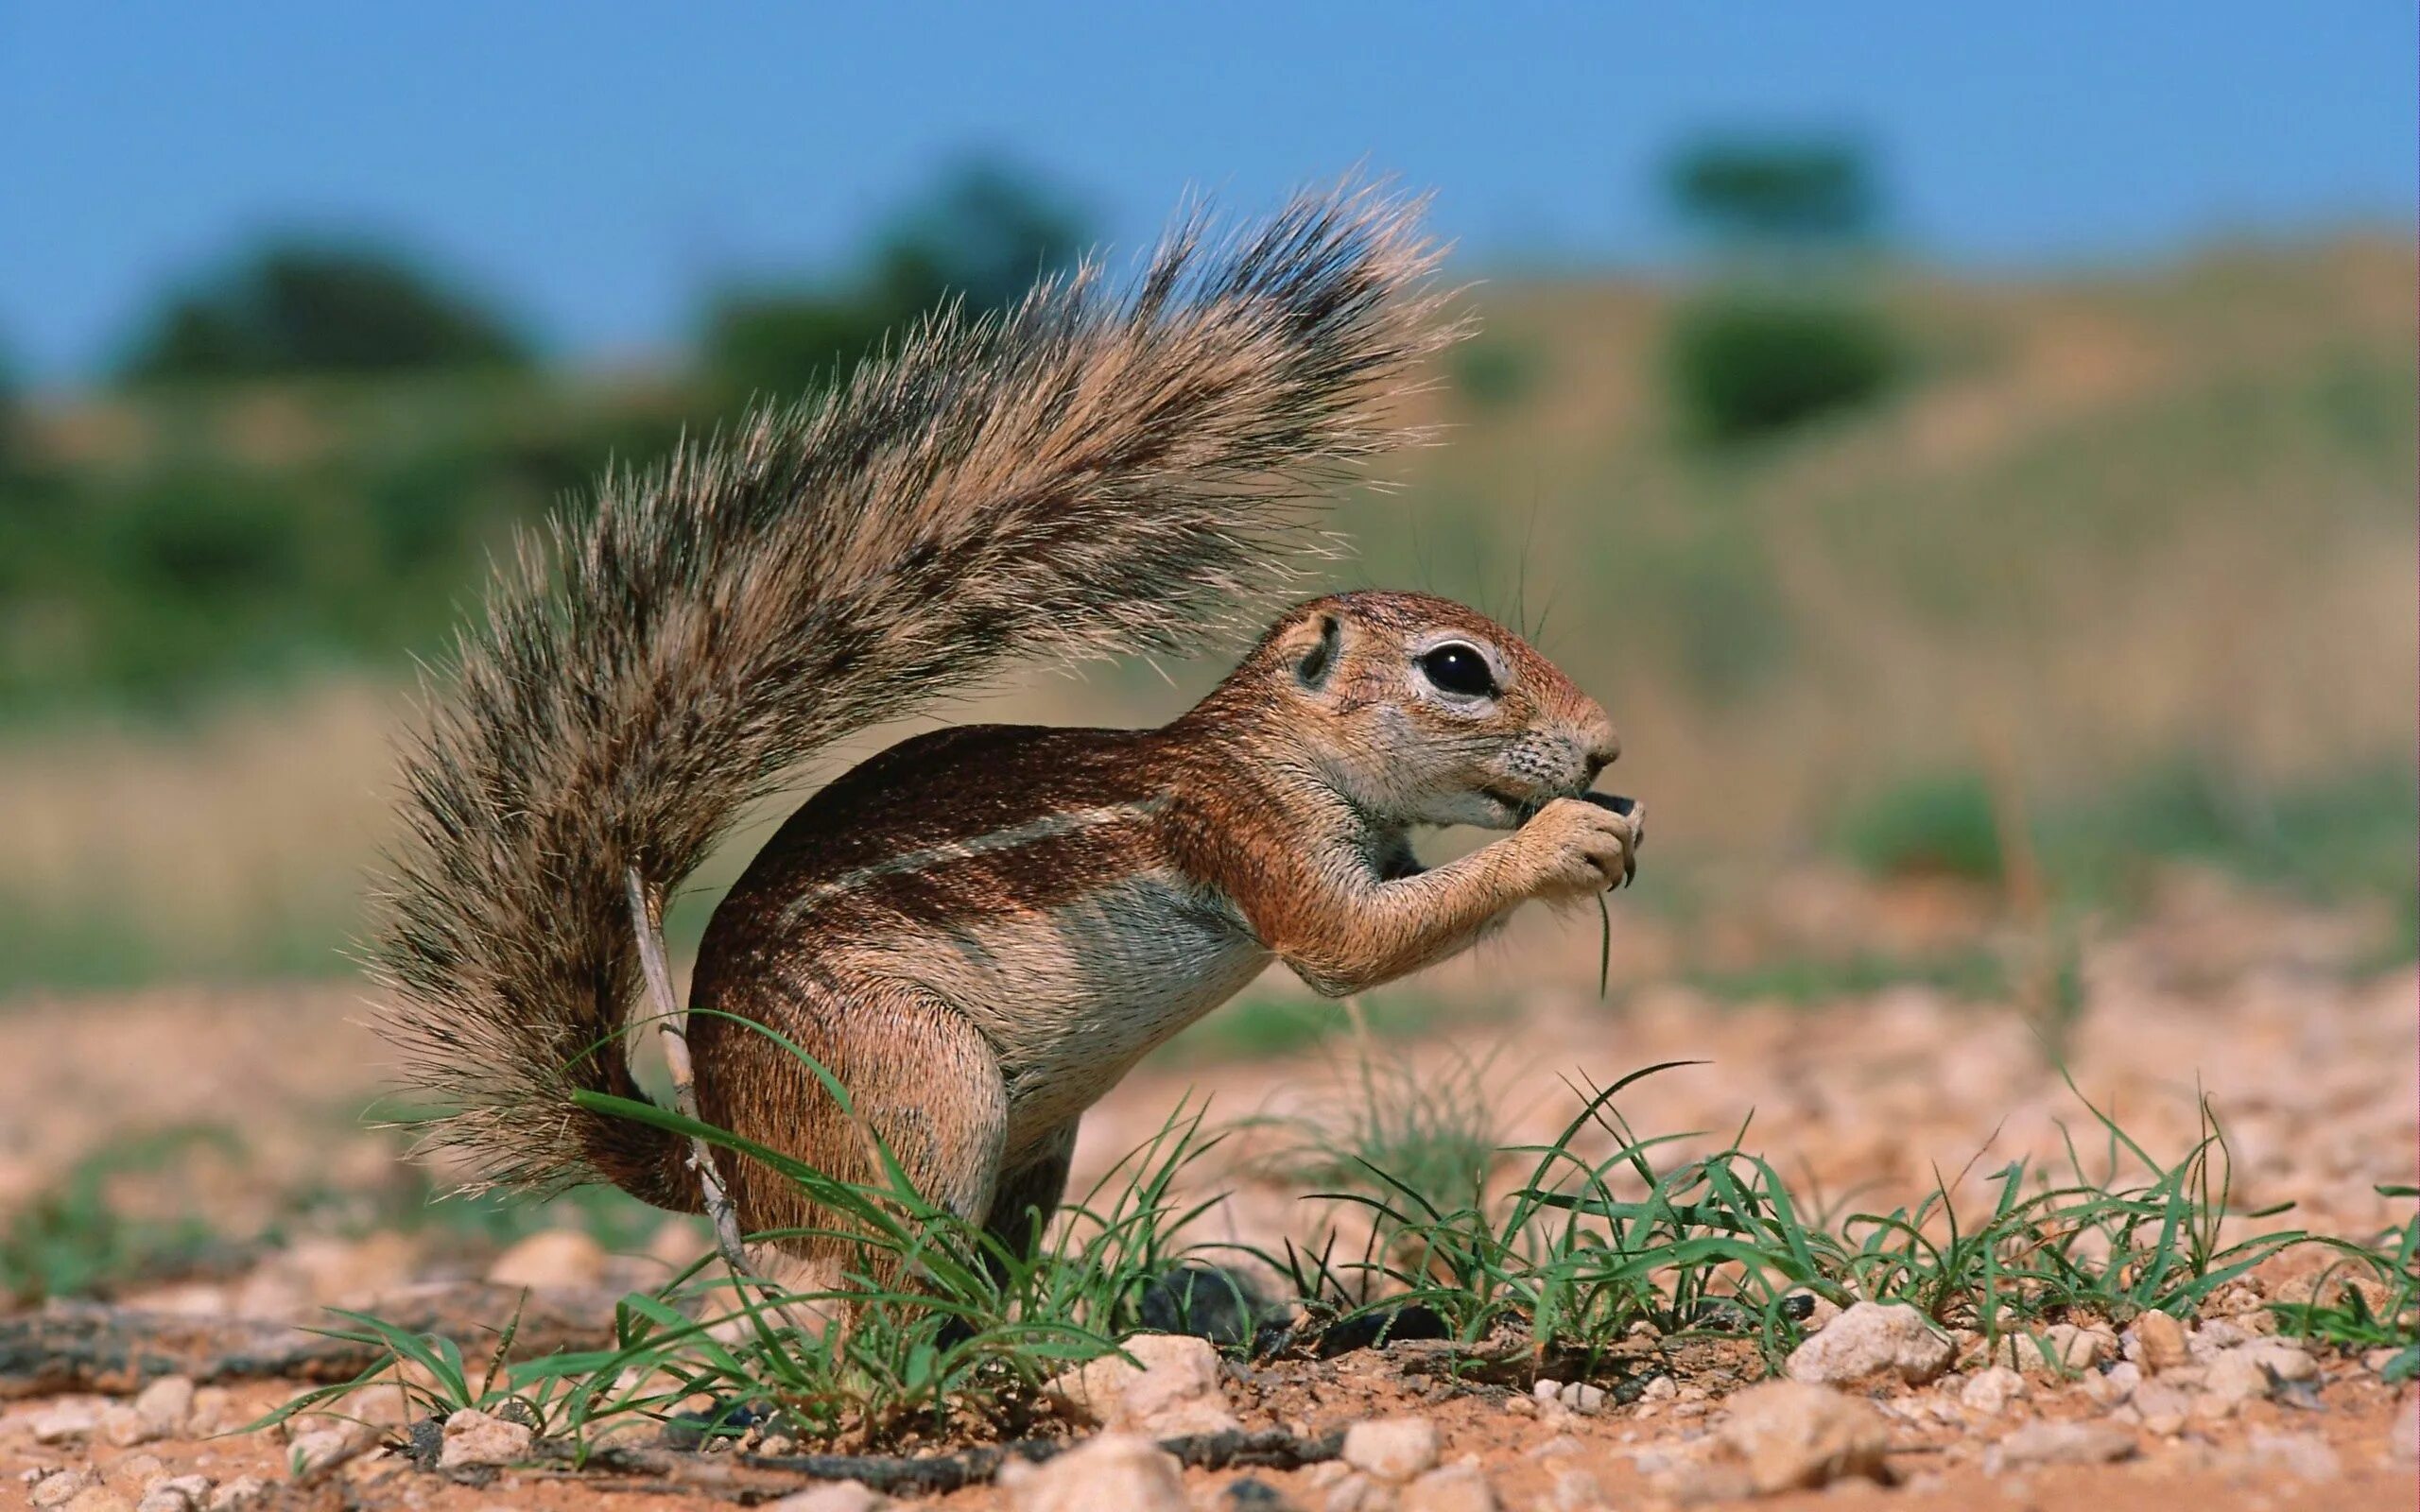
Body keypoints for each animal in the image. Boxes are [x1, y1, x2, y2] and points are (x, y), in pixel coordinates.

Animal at [377, 182, 1635, 1277]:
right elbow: (1351, 947)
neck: (1268, 751)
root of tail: (730, 1162)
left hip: (1034, 1146)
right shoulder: (1245, 832)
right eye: (1458, 669)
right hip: (917, 1088)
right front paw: (1566, 840)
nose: (1605, 746)